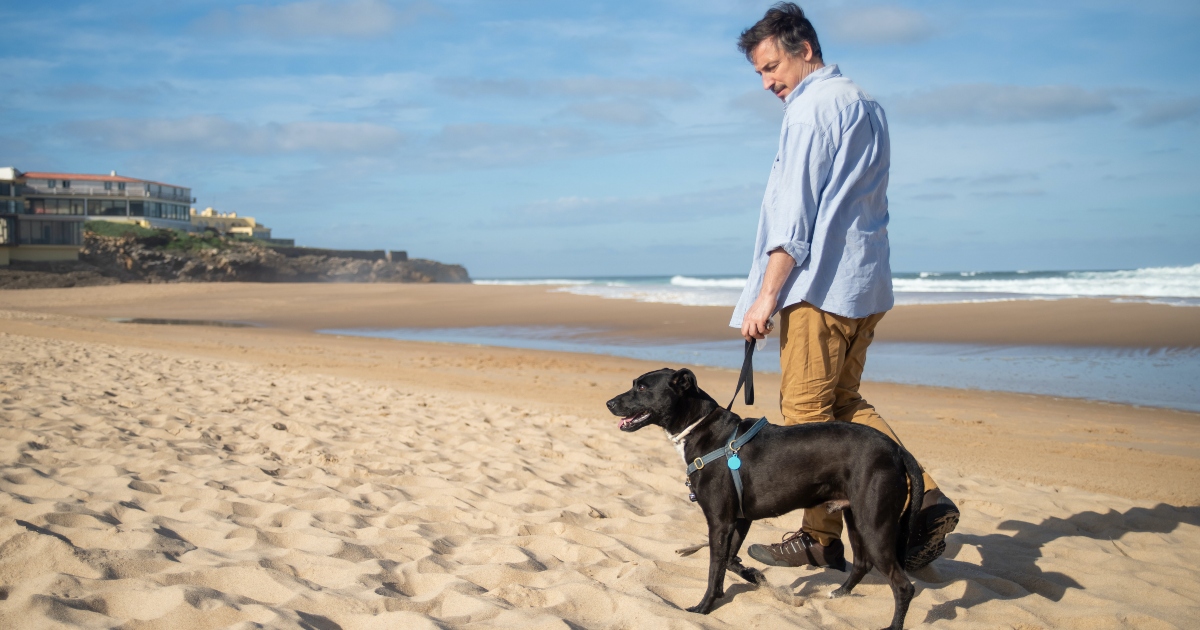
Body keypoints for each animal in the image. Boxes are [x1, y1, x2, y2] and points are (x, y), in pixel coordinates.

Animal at [604, 364, 921, 624]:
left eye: (642, 387)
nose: (609, 402)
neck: (703, 429)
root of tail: (896, 449)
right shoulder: (740, 519)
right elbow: (729, 562)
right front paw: (753, 576)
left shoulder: (720, 523)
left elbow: (714, 569)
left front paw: (703, 608)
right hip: (856, 517)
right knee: (863, 564)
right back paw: (839, 593)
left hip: (874, 525)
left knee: (903, 586)